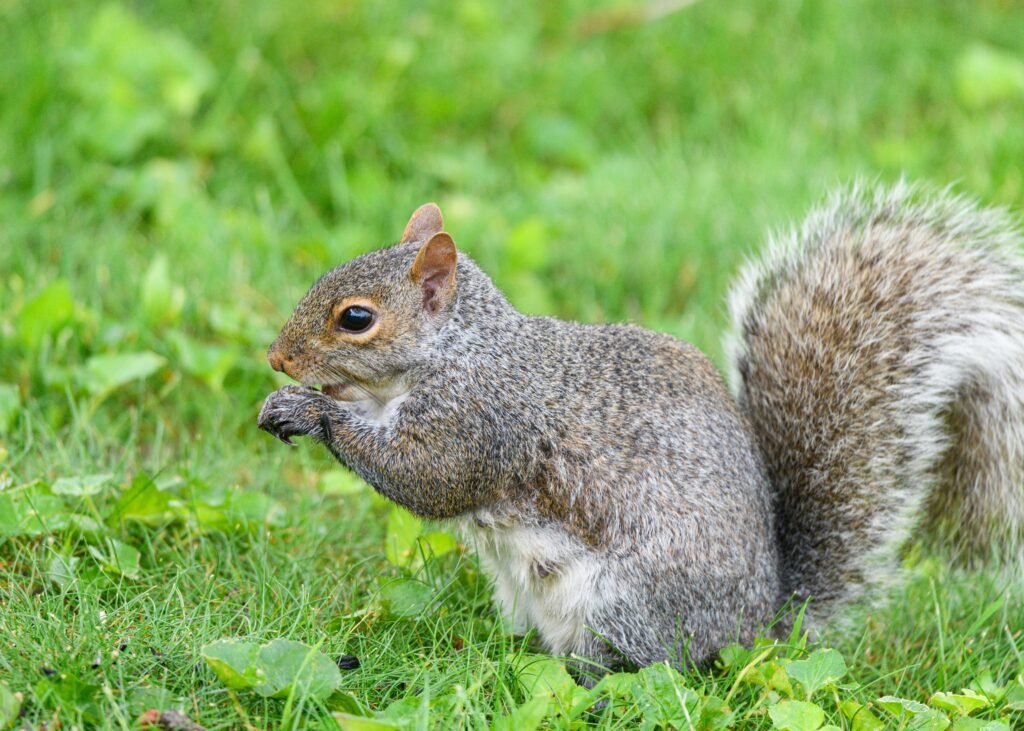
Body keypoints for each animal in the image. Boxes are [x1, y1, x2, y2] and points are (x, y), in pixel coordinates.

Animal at [258, 183, 1024, 675]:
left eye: (356, 318)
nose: (276, 356)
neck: (461, 348)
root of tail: (756, 627)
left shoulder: (482, 418)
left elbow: (428, 479)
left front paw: (312, 411)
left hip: (624, 604)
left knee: (650, 669)